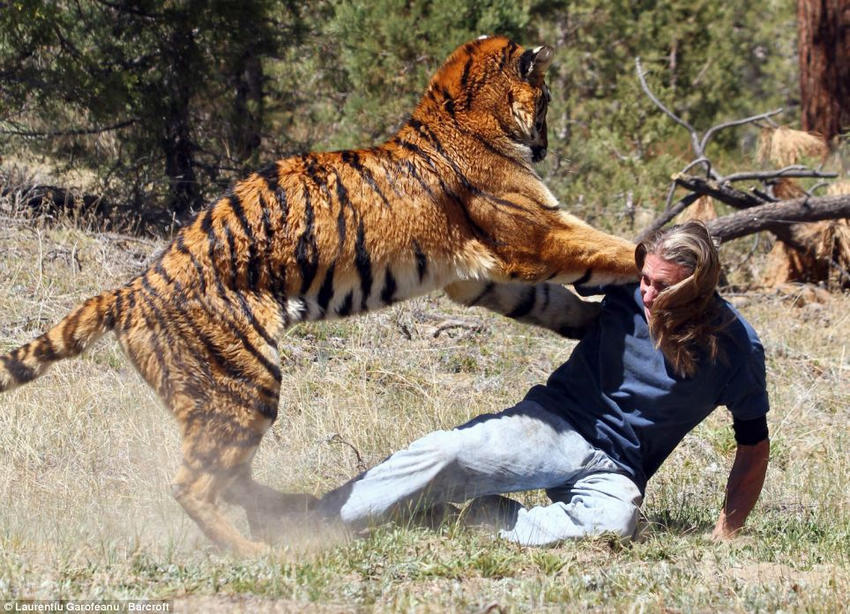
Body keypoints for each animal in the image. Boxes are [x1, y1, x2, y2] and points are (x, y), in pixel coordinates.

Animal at [0, 35, 637, 555]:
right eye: (547, 98)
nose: (548, 143)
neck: (461, 111)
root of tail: (131, 287)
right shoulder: (533, 235)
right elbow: (607, 245)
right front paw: (656, 257)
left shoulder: (478, 276)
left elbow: (549, 302)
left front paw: (589, 324)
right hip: (243, 384)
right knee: (193, 483)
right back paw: (256, 552)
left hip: (224, 397)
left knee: (231, 476)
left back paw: (286, 512)